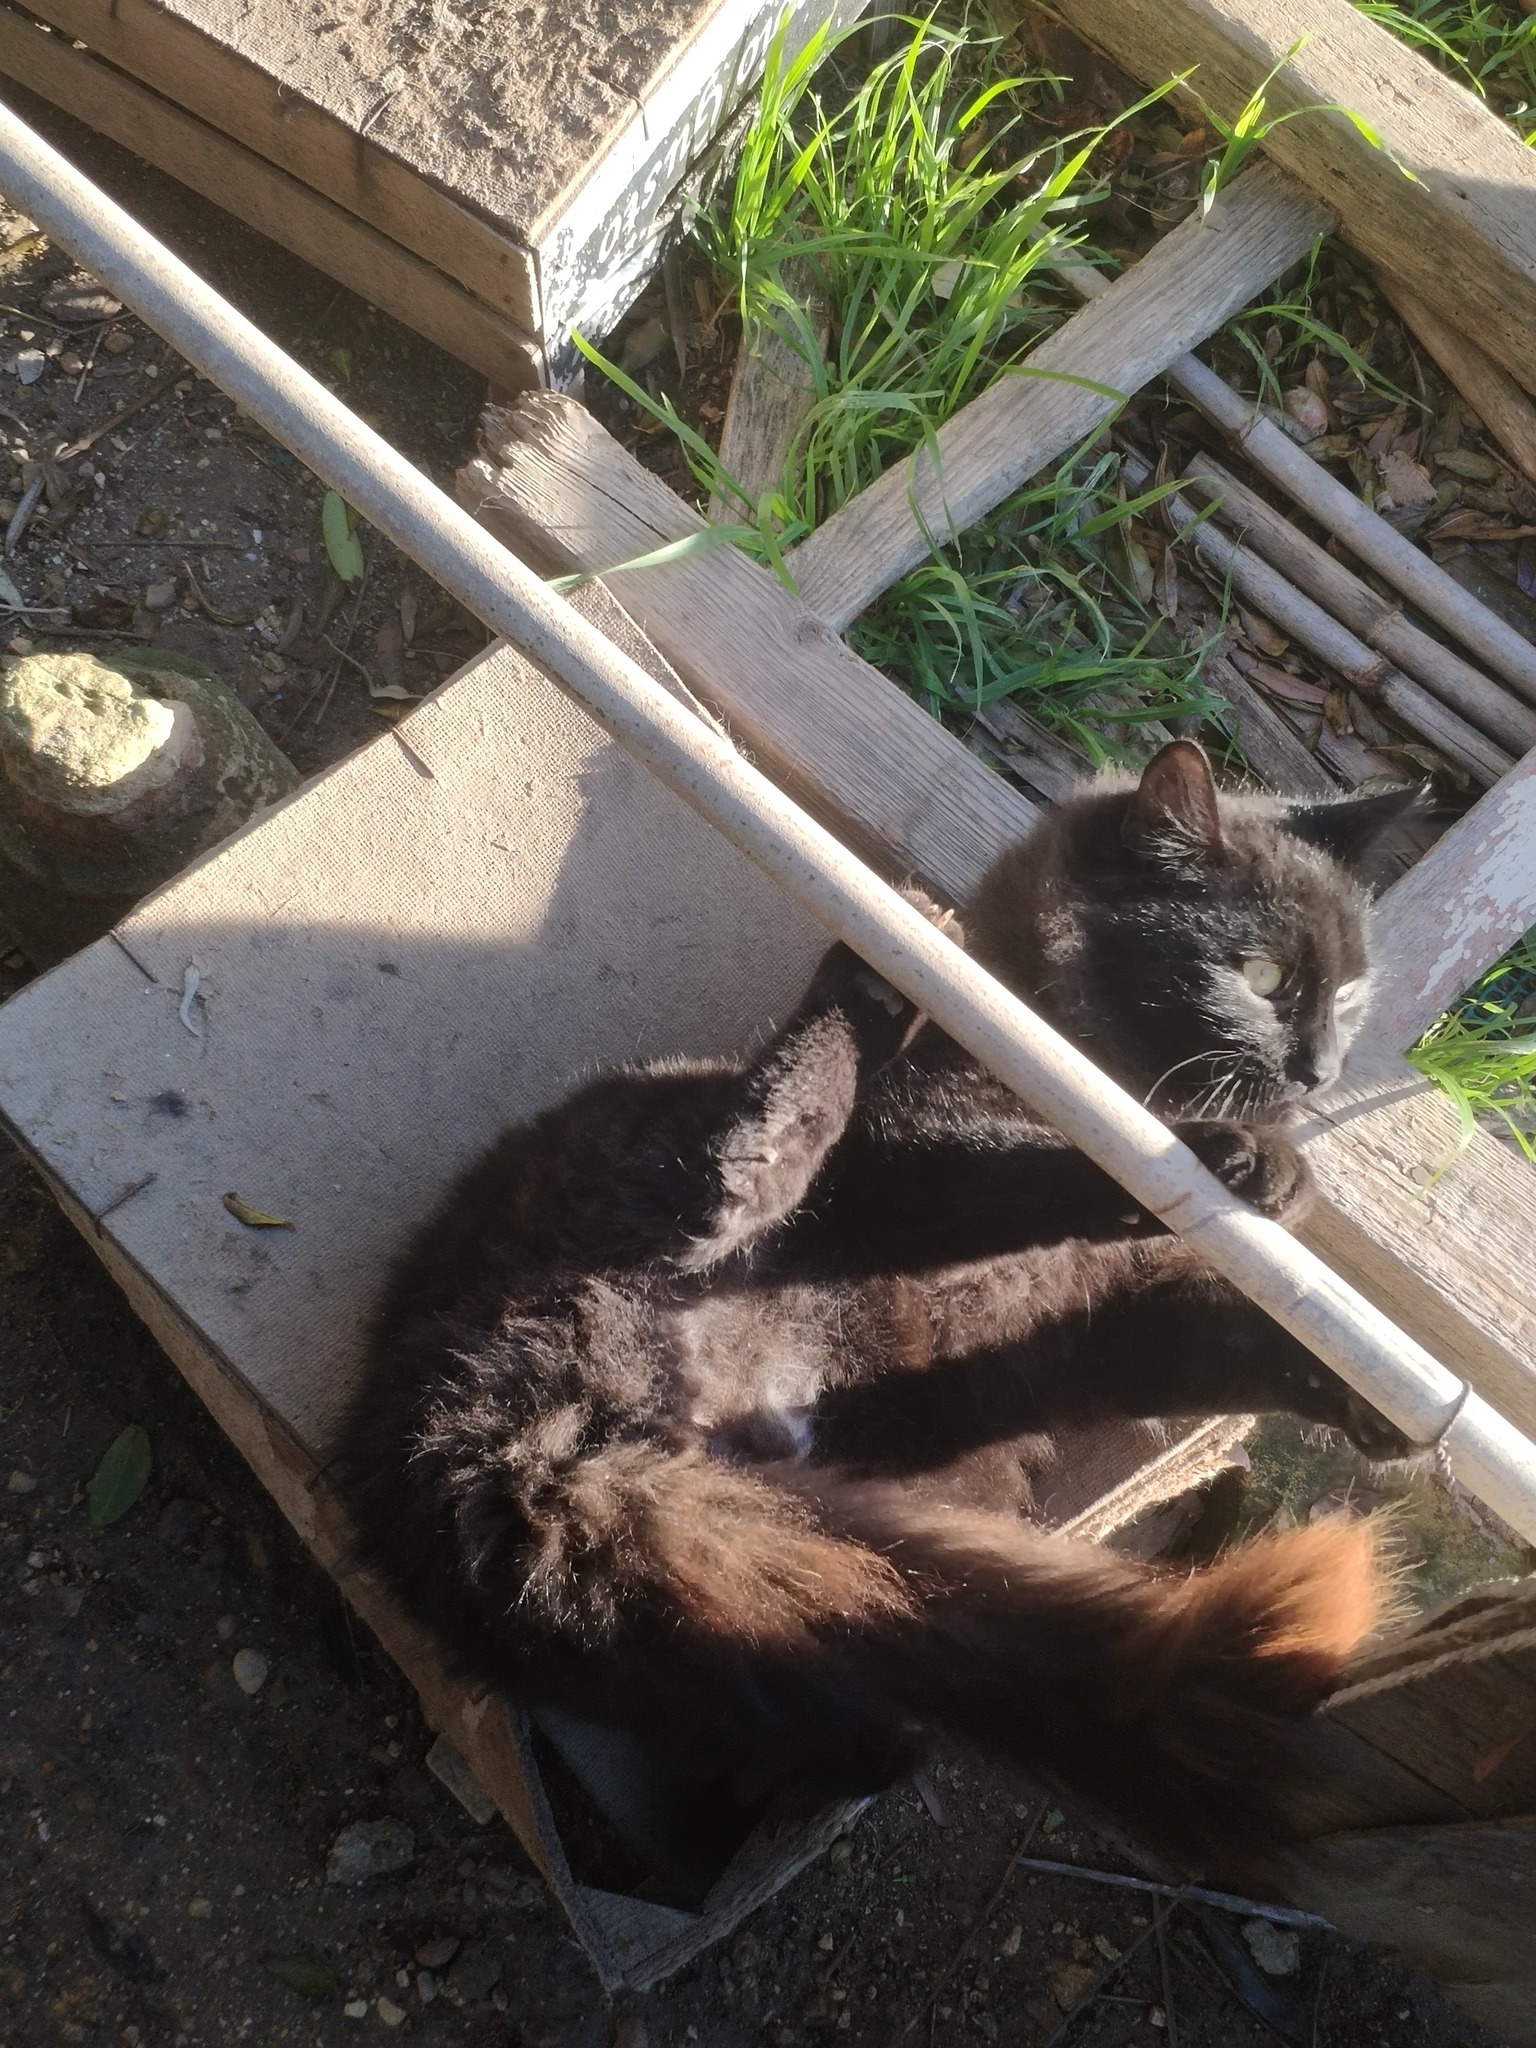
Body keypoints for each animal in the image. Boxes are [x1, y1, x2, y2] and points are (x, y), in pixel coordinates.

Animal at [340, 741, 1425, 1896]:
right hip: (649, 1148)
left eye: (1352, 992)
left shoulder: (1104, 1323)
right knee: (738, 1161)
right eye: (1260, 975)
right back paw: (875, 967)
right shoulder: (907, 1162)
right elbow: (1059, 1163)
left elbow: (1238, 1336)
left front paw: (1379, 1405)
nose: (1320, 1068)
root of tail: (495, 1445)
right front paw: (1247, 1159)